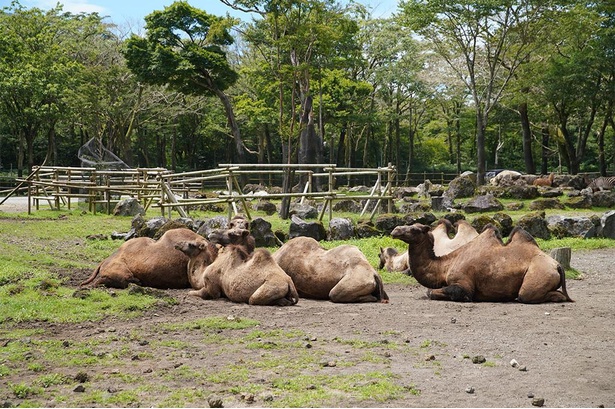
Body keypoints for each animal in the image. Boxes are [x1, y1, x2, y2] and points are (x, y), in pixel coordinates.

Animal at [392, 223, 576, 302]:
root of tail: (557, 265)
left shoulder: (463, 283)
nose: (395, 230)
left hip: (539, 274)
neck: (445, 266)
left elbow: (432, 292)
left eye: (415, 229)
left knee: (526, 295)